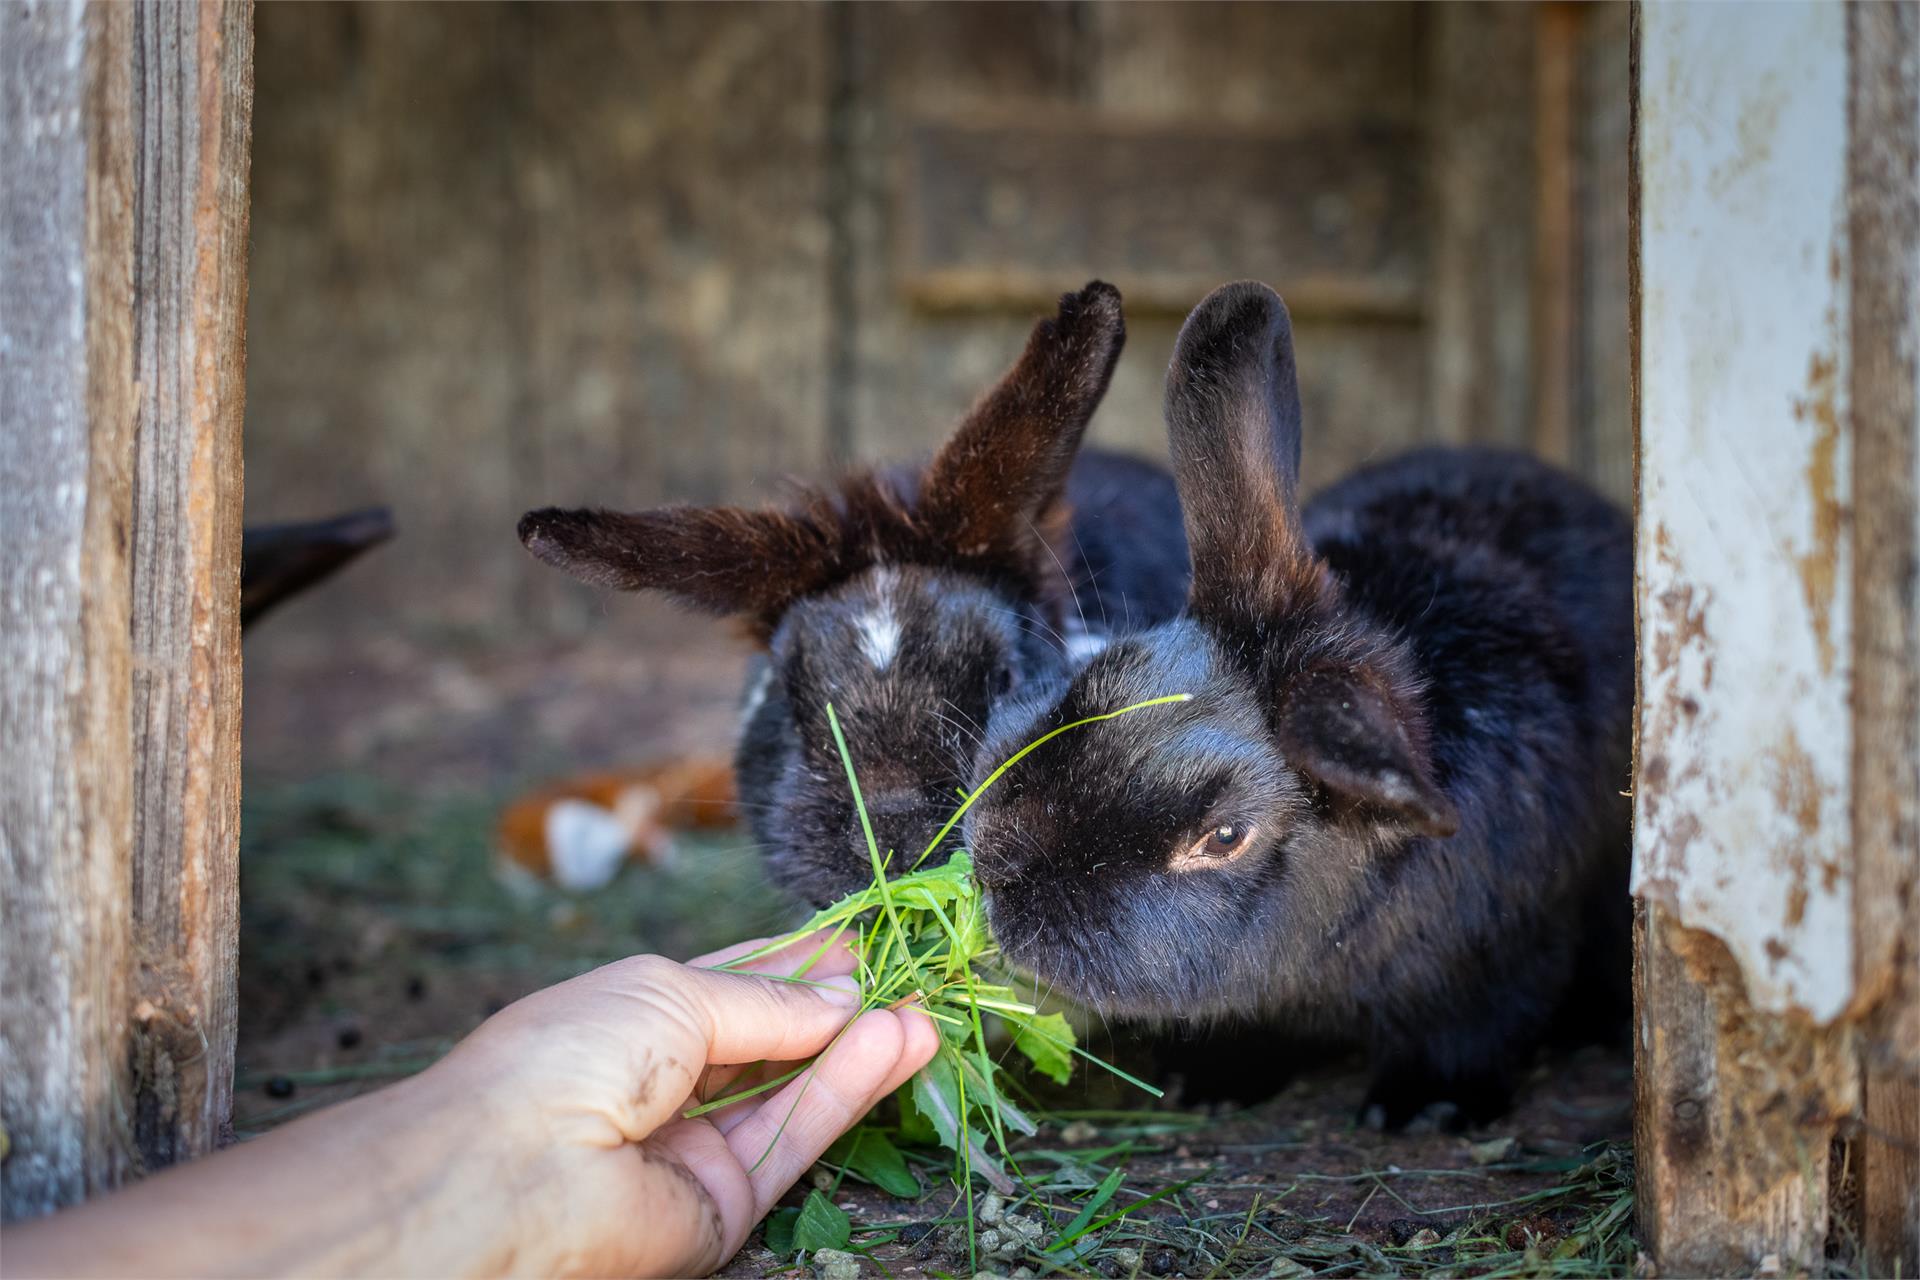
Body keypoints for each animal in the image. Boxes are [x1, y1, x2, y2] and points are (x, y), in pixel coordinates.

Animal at [967, 282, 1628, 1128]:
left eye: (1224, 836)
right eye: (1100, 677)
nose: (997, 862)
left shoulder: (1504, 963)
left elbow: (1474, 1032)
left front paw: (1424, 1110)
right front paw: (1210, 1085)